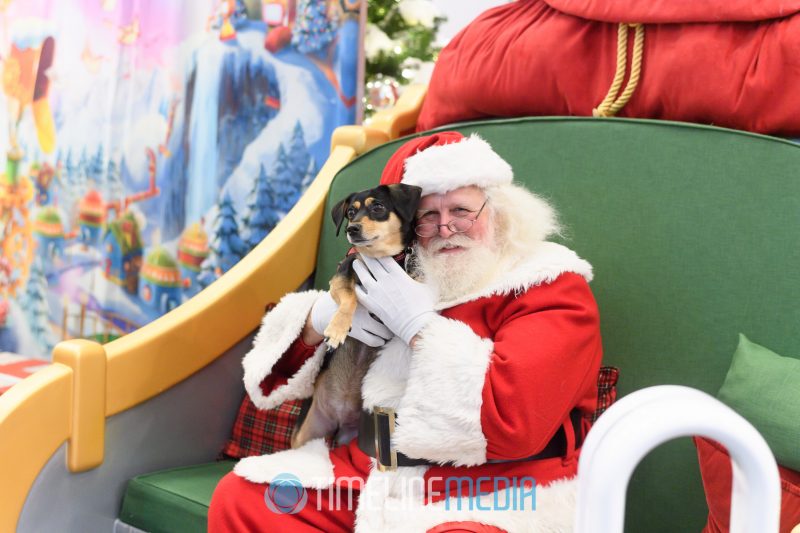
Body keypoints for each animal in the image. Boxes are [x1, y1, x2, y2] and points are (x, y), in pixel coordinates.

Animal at [290, 183, 422, 448]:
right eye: (351, 212)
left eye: (378, 207)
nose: (352, 229)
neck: (383, 257)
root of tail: (338, 421)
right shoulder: (344, 273)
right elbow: (350, 297)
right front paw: (338, 329)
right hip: (306, 431)